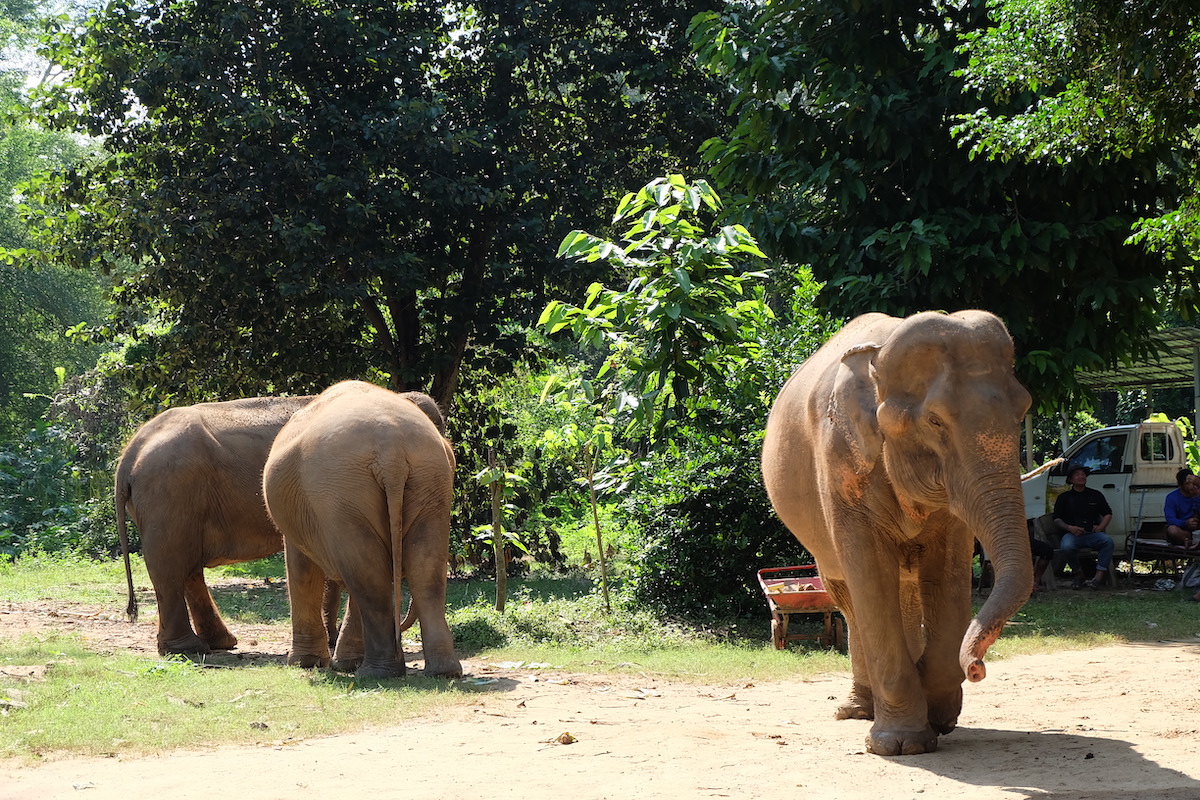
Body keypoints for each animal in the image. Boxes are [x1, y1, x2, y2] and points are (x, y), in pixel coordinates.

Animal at [115, 391, 446, 656]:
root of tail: (130, 452)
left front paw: (332, 641)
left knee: (186, 568)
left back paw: (221, 643)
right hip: (168, 492)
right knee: (171, 567)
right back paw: (188, 649)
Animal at [262, 380, 462, 679]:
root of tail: (392, 452)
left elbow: (301, 567)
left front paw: (306, 663)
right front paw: (341, 663)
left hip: (342, 492)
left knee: (367, 573)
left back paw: (375, 673)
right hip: (429, 480)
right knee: (419, 569)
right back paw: (441, 672)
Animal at [761, 310, 1033, 756]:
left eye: (1022, 411)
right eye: (935, 421)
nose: (977, 668)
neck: (879, 357)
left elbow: (947, 575)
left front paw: (940, 719)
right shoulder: (840, 465)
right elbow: (870, 576)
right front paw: (900, 745)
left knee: (906, 594)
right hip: (819, 544)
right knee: (848, 599)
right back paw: (857, 711)